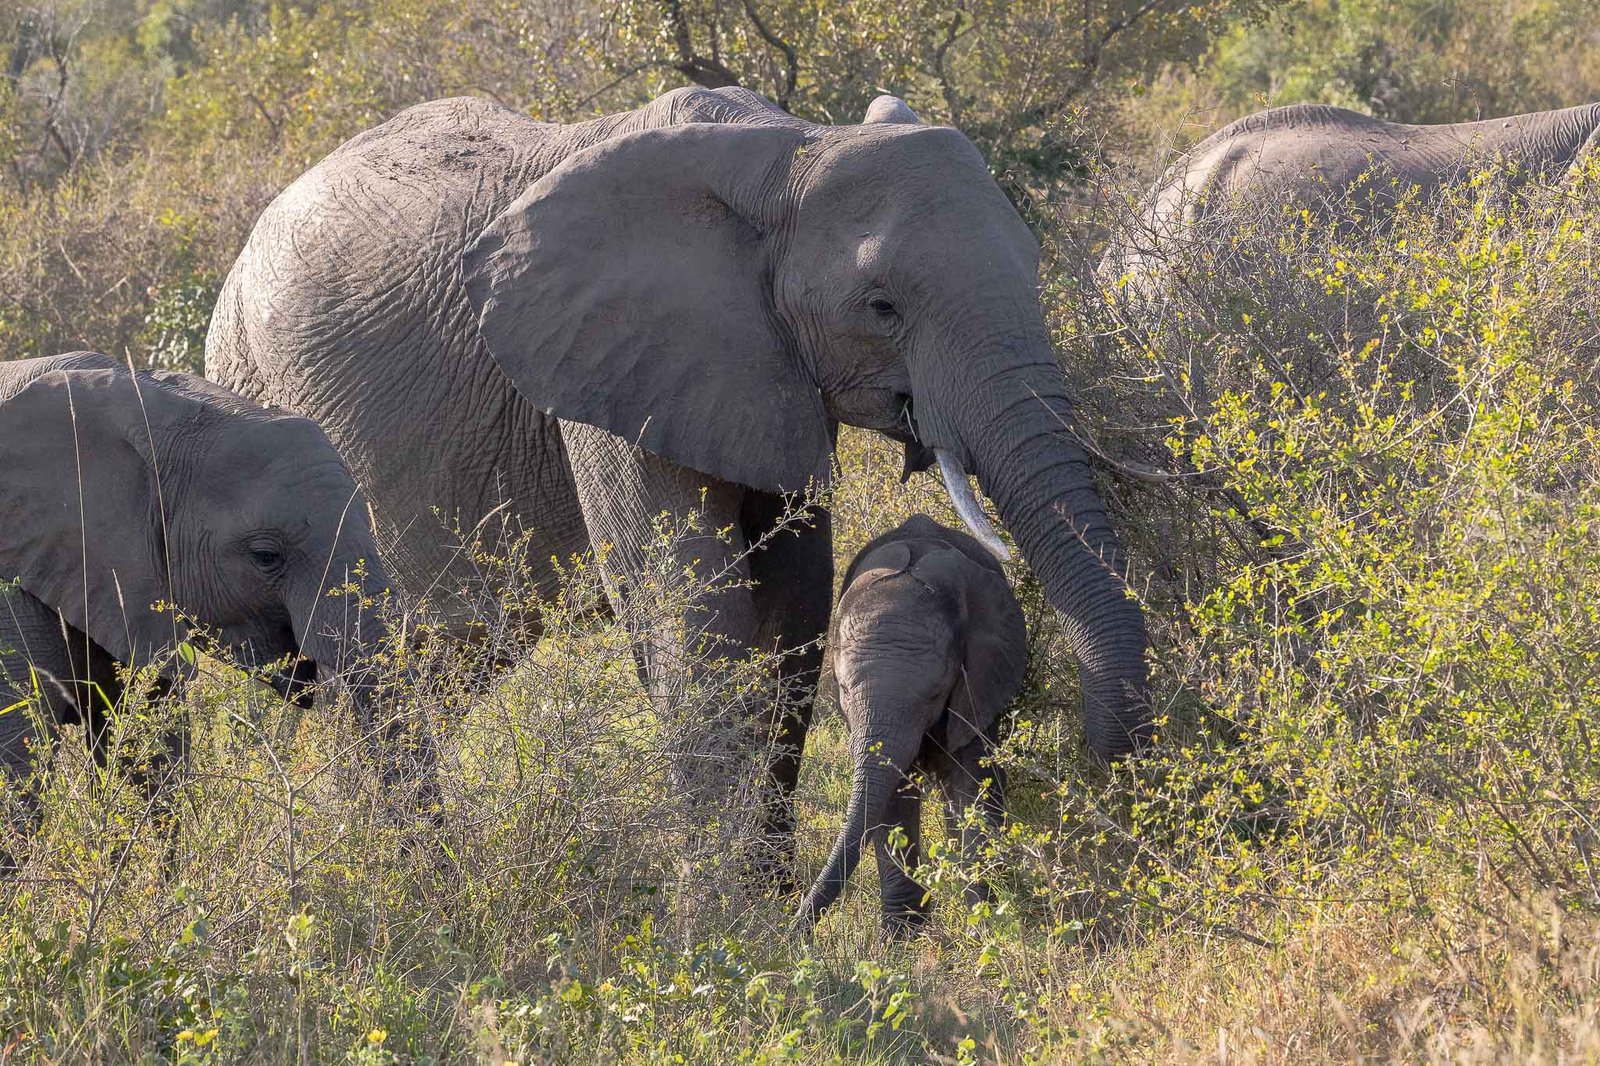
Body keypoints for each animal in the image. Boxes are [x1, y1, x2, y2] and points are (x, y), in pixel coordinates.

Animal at [206, 86, 1150, 879]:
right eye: (881, 307)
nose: (1110, 767)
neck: (788, 147)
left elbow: (793, 618)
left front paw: (766, 904)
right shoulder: (603, 373)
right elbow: (694, 620)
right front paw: (739, 931)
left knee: (432, 672)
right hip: (268, 393)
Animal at [796, 515, 1026, 936]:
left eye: (936, 694)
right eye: (843, 690)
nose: (794, 933)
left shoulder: (980, 679)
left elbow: (973, 782)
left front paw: (984, 929)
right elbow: (890, 795)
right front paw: (901, 939)